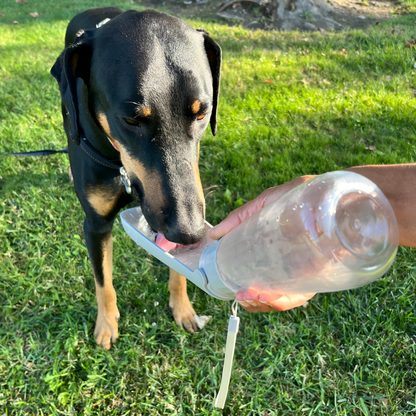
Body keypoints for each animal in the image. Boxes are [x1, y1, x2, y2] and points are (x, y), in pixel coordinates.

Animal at [51, 8, 221, 350]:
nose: (190, 232)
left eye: (202, 113)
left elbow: (178, 268)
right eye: (131, 119)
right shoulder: (95, 224)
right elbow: (103, 281)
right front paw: (106, 326)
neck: (121, 166)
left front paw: (183, 308)